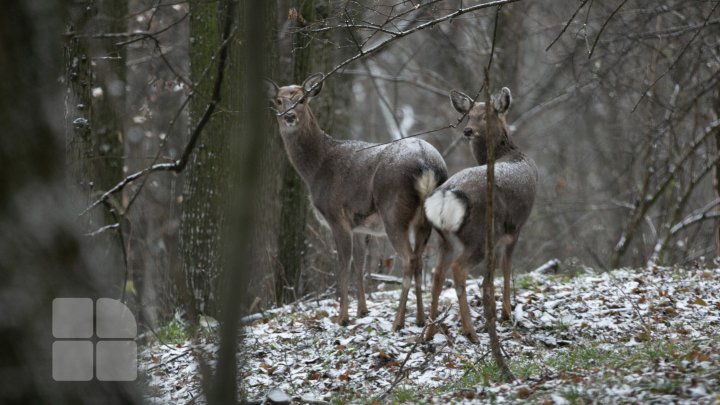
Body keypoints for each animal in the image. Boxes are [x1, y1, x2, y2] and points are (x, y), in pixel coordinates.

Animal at [264, 72, 448, 328]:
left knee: (409, 259)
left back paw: (398, 322)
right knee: (420, 261)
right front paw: (362, 310)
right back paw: (421, 320)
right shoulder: (361, 226)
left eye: (302, 100)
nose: (289, 116)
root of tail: (427, 164)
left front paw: (342, 317)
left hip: (394, 212)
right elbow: (360, 263)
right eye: (279, 101)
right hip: (425, 219)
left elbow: (344, 264)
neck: (316, 168)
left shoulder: (336, 214)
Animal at [424, 87, 536, 340]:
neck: (510, 153)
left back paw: (430, 332)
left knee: (436, 274)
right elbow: (505, 269)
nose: (467, 130)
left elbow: (490, 277)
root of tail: (447, 195)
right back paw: (470, 331)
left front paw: (493, 313)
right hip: (480, 234)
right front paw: (505, 313)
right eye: (468, 116)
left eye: (484, 116)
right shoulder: (515, 228)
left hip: (445, 238)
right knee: (458, 269)